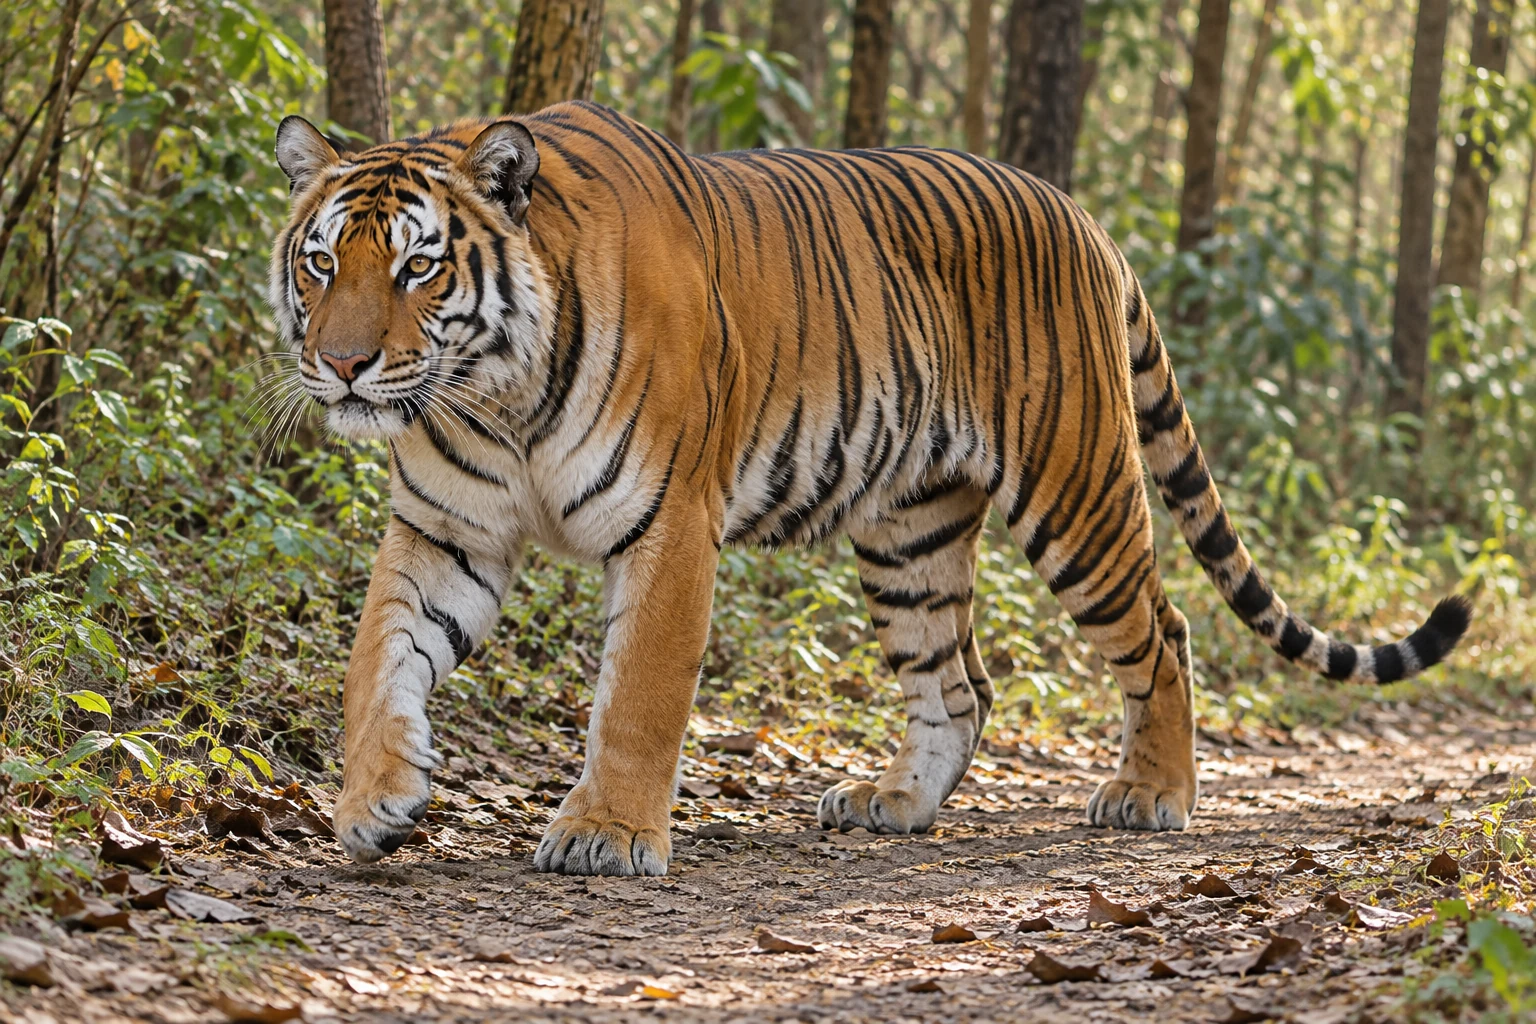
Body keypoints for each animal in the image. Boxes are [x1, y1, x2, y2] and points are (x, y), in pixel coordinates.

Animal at [268, 100, 1471, 876]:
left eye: (420, 266)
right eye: (322, 262)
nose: (342, 364)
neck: (495, 392)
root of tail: (1088, 221)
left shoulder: (671, 526)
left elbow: (640, 697)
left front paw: (607, 833)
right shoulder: (444, 532)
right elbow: (377, 660)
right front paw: (375, 803)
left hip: (1077, 494)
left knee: (1163, 632)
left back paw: (1153, 796)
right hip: (911, 532)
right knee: (961, 683)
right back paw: (893, 801)